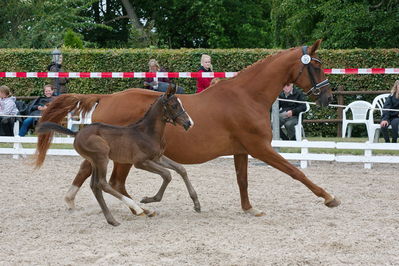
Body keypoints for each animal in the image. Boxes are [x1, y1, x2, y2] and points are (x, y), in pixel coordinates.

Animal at [37, 85, 200, 227]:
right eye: (174, 105)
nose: (189, 123)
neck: (147, 132)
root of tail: (76, 133)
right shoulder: (141, 162)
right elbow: (167, 174)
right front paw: (149, 199)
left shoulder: (157, 158)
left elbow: (181, 169)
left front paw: (196, 203)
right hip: (102, 157)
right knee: (103, 183)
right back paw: (138, 209)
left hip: (95, 161)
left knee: (95, 186)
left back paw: (112, 220)